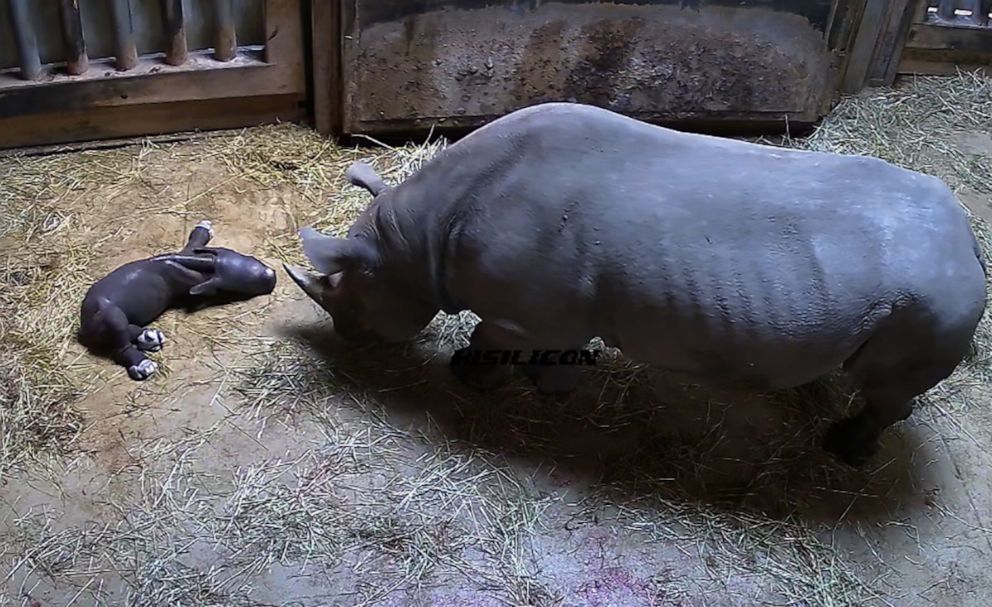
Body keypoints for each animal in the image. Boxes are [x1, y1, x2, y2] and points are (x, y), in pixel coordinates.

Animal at [284, 102, 987, 467]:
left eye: (346, 297)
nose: (349, 338)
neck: (413, 242)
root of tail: (969, 241)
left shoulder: (521, 311)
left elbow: (489, 339)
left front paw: (470, 378)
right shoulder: (552, 312)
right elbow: (555, 349)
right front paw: (551, 387)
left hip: (933, 303)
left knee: (886, 382)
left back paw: (845, 451)